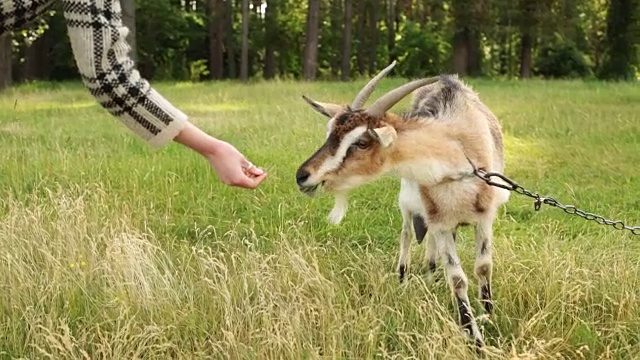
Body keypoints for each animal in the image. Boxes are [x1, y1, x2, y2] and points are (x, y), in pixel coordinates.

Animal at [296, 61, 510, 346]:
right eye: (330, 133)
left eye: (361, 142)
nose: (302, 176)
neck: (459, 159)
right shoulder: (440, 220)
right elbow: (457, 279)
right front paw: (474, 338)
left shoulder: (484, 217)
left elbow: (483, 268)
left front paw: (488, 316)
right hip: (409, 204)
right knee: (407, 234)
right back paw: (405, 277)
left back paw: (431, 275)